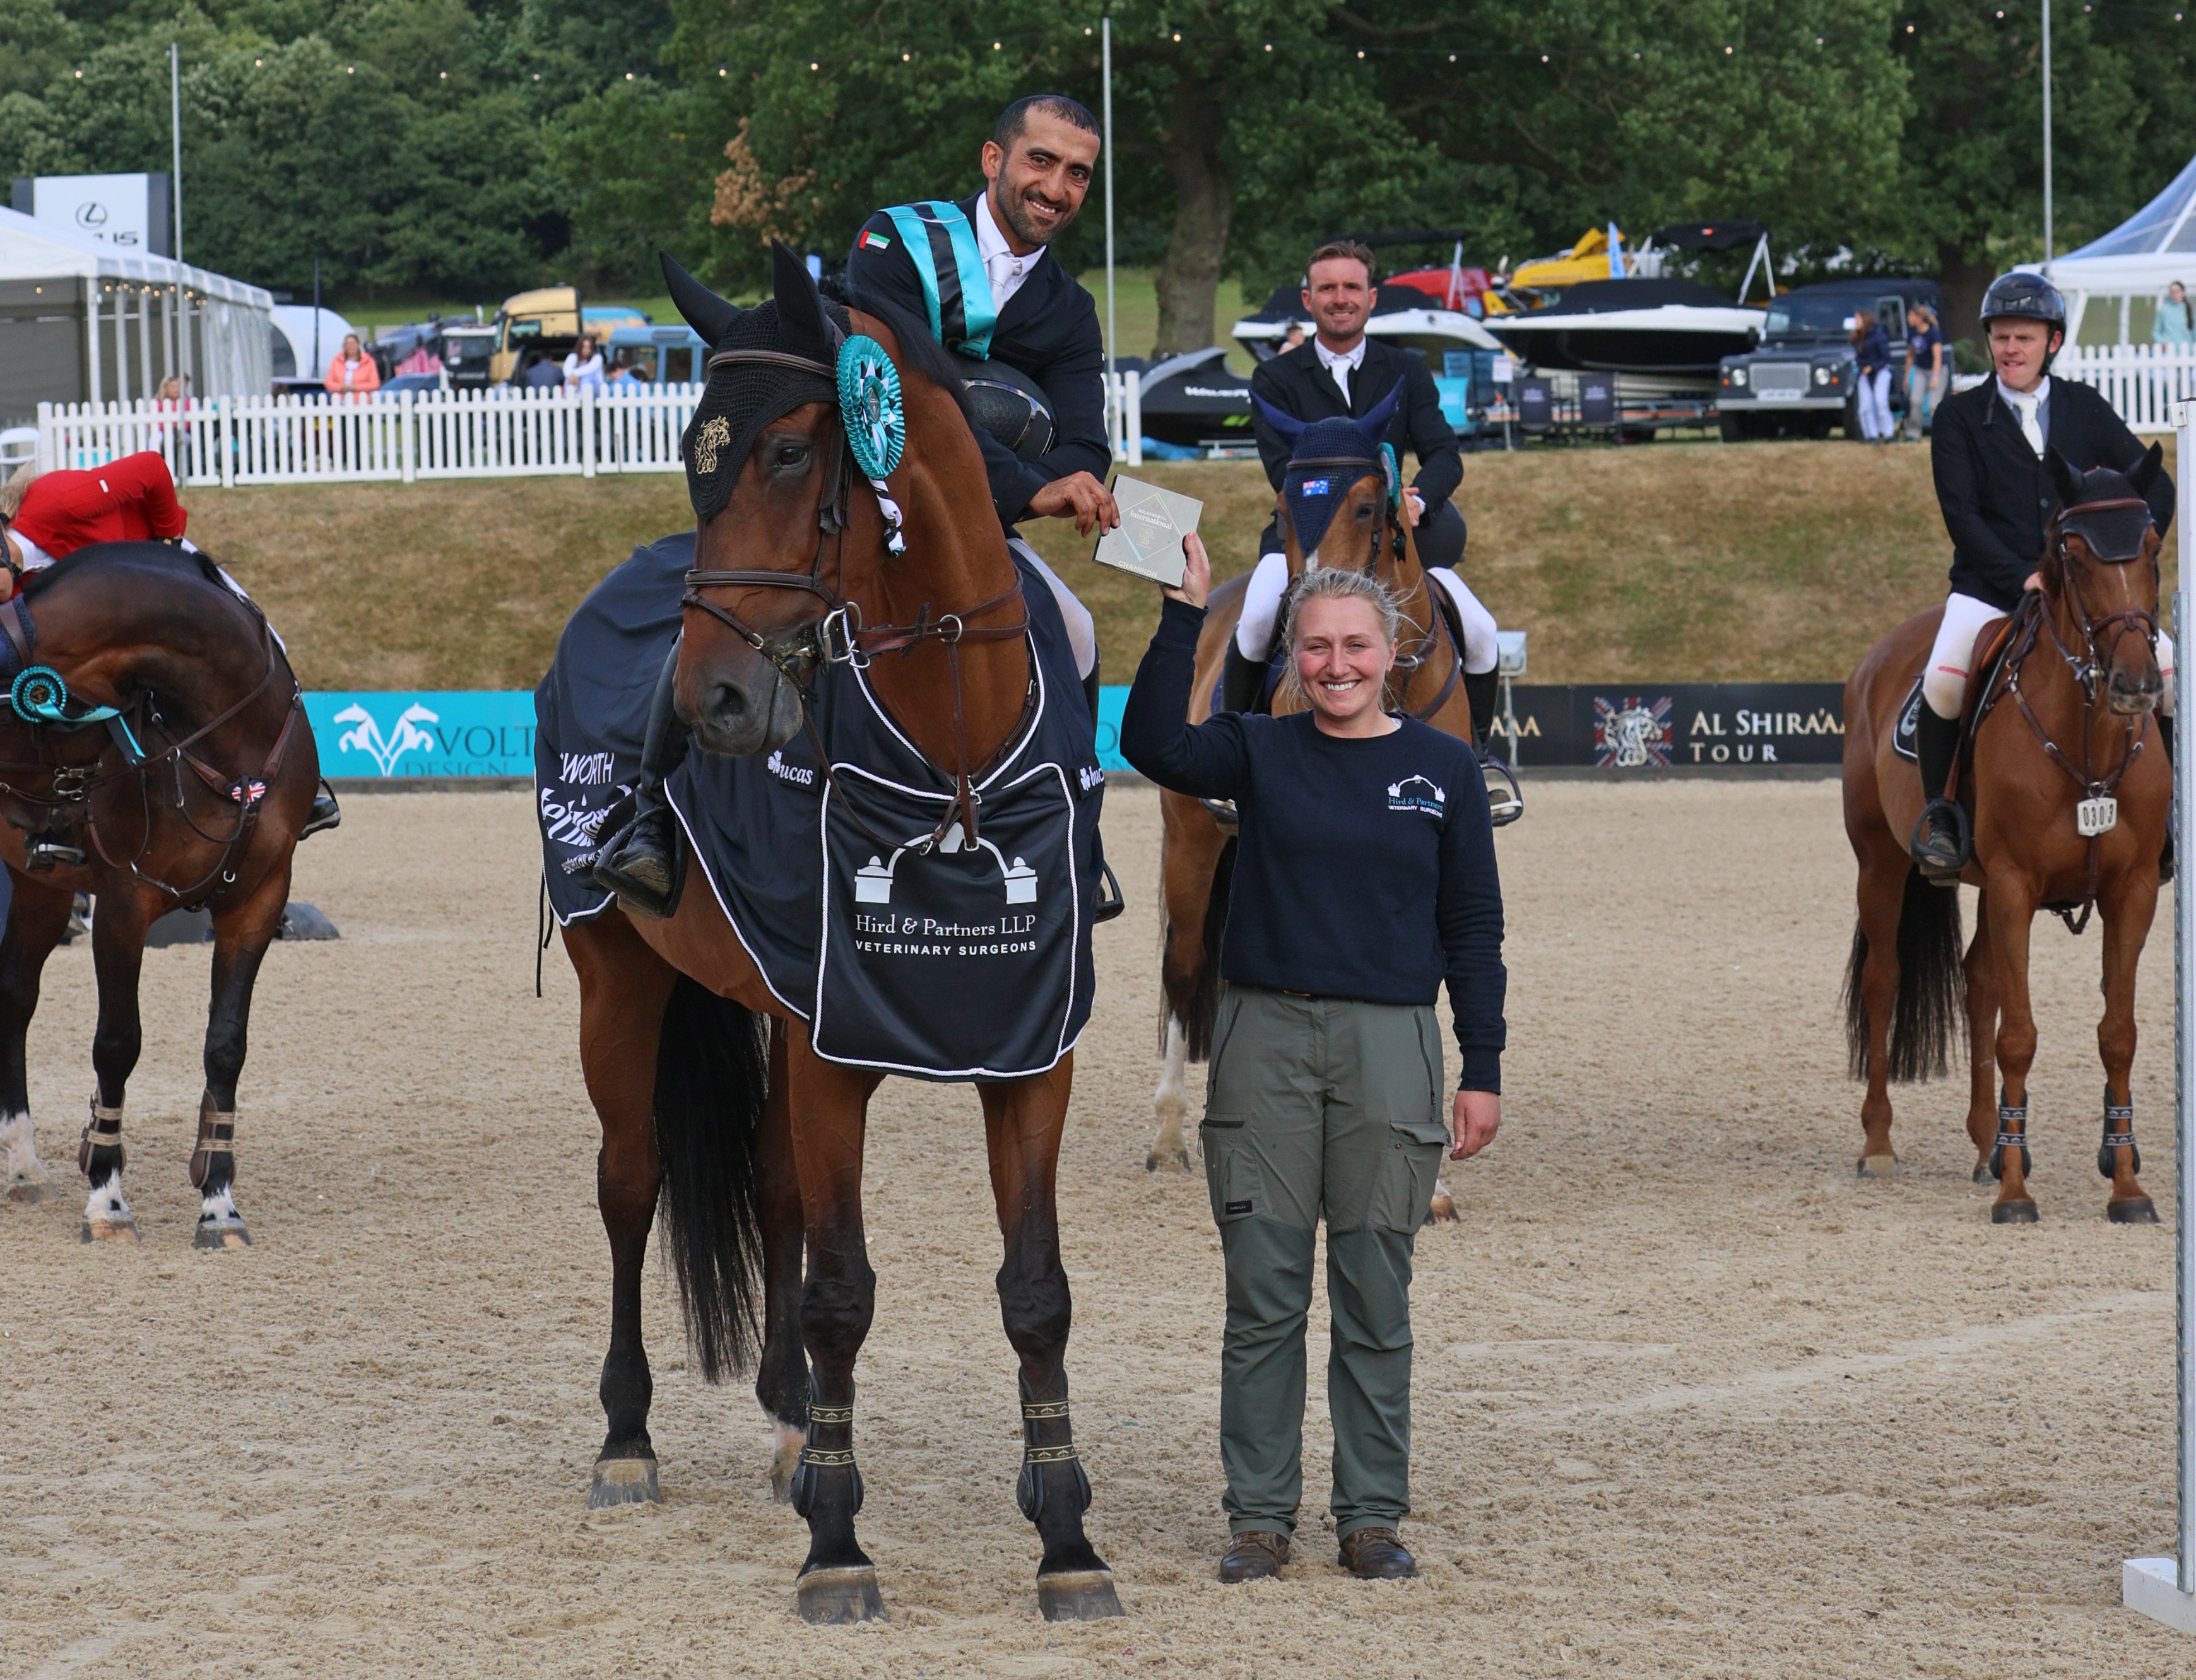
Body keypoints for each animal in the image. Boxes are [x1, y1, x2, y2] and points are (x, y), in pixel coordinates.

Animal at [0, 543, 323, 1248]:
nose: (43, 819)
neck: (224, 739)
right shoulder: (124, 905)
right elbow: (117, 1043)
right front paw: (107, 1198)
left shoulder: (258, 899)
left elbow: (226, 1045)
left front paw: (219, 1202)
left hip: (42, 889)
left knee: (14, 995)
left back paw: (21, 1164)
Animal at [554, 246, 1121, 1625]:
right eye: (695, 457)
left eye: (787, 454)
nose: (711, 698)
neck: (952, 750)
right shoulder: (836, 1052)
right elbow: (843, 1289)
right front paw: (837, 1543)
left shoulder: (1028, 1053)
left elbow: (1036, 1292)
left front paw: (1066, 1538)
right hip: (619, 985)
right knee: (631, 1181)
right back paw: (628, 1436)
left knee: (768, 1183)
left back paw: (786, 1421)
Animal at [1146, 408, 1475, 1193]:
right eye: (1284, 505)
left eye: (1367, 505)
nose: (1314, 595)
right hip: (1193, 840)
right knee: (1185, 966)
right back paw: (1171, 1132)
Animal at [1841, 448, 2170, 1223]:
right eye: (2074, 556)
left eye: (2151, 547)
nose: (2136, 682)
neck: (2088, 744)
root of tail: (1880, 655)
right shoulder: (2018, 882)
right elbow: (2019, 1034)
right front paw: (2017, 1194)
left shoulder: (2132, 889)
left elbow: (2118, 1033)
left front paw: (2126, 1185)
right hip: (1882, 862)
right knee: (1883, 979)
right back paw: (1880, 1144)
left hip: (1987, 886)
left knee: (1978, 980)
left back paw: (1988, 1141)